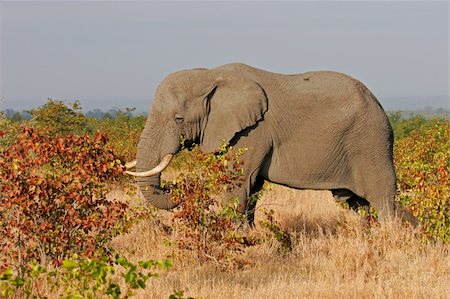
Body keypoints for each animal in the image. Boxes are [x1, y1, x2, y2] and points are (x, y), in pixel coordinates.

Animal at [125, 63, 404, 225]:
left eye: (178, 119)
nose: (175, 195)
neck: (209, 74)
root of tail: (379, 105)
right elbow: (252, 189)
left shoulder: (253, 132)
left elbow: (239, 186)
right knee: (358, 204)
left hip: (370, 142)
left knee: (382, 200)